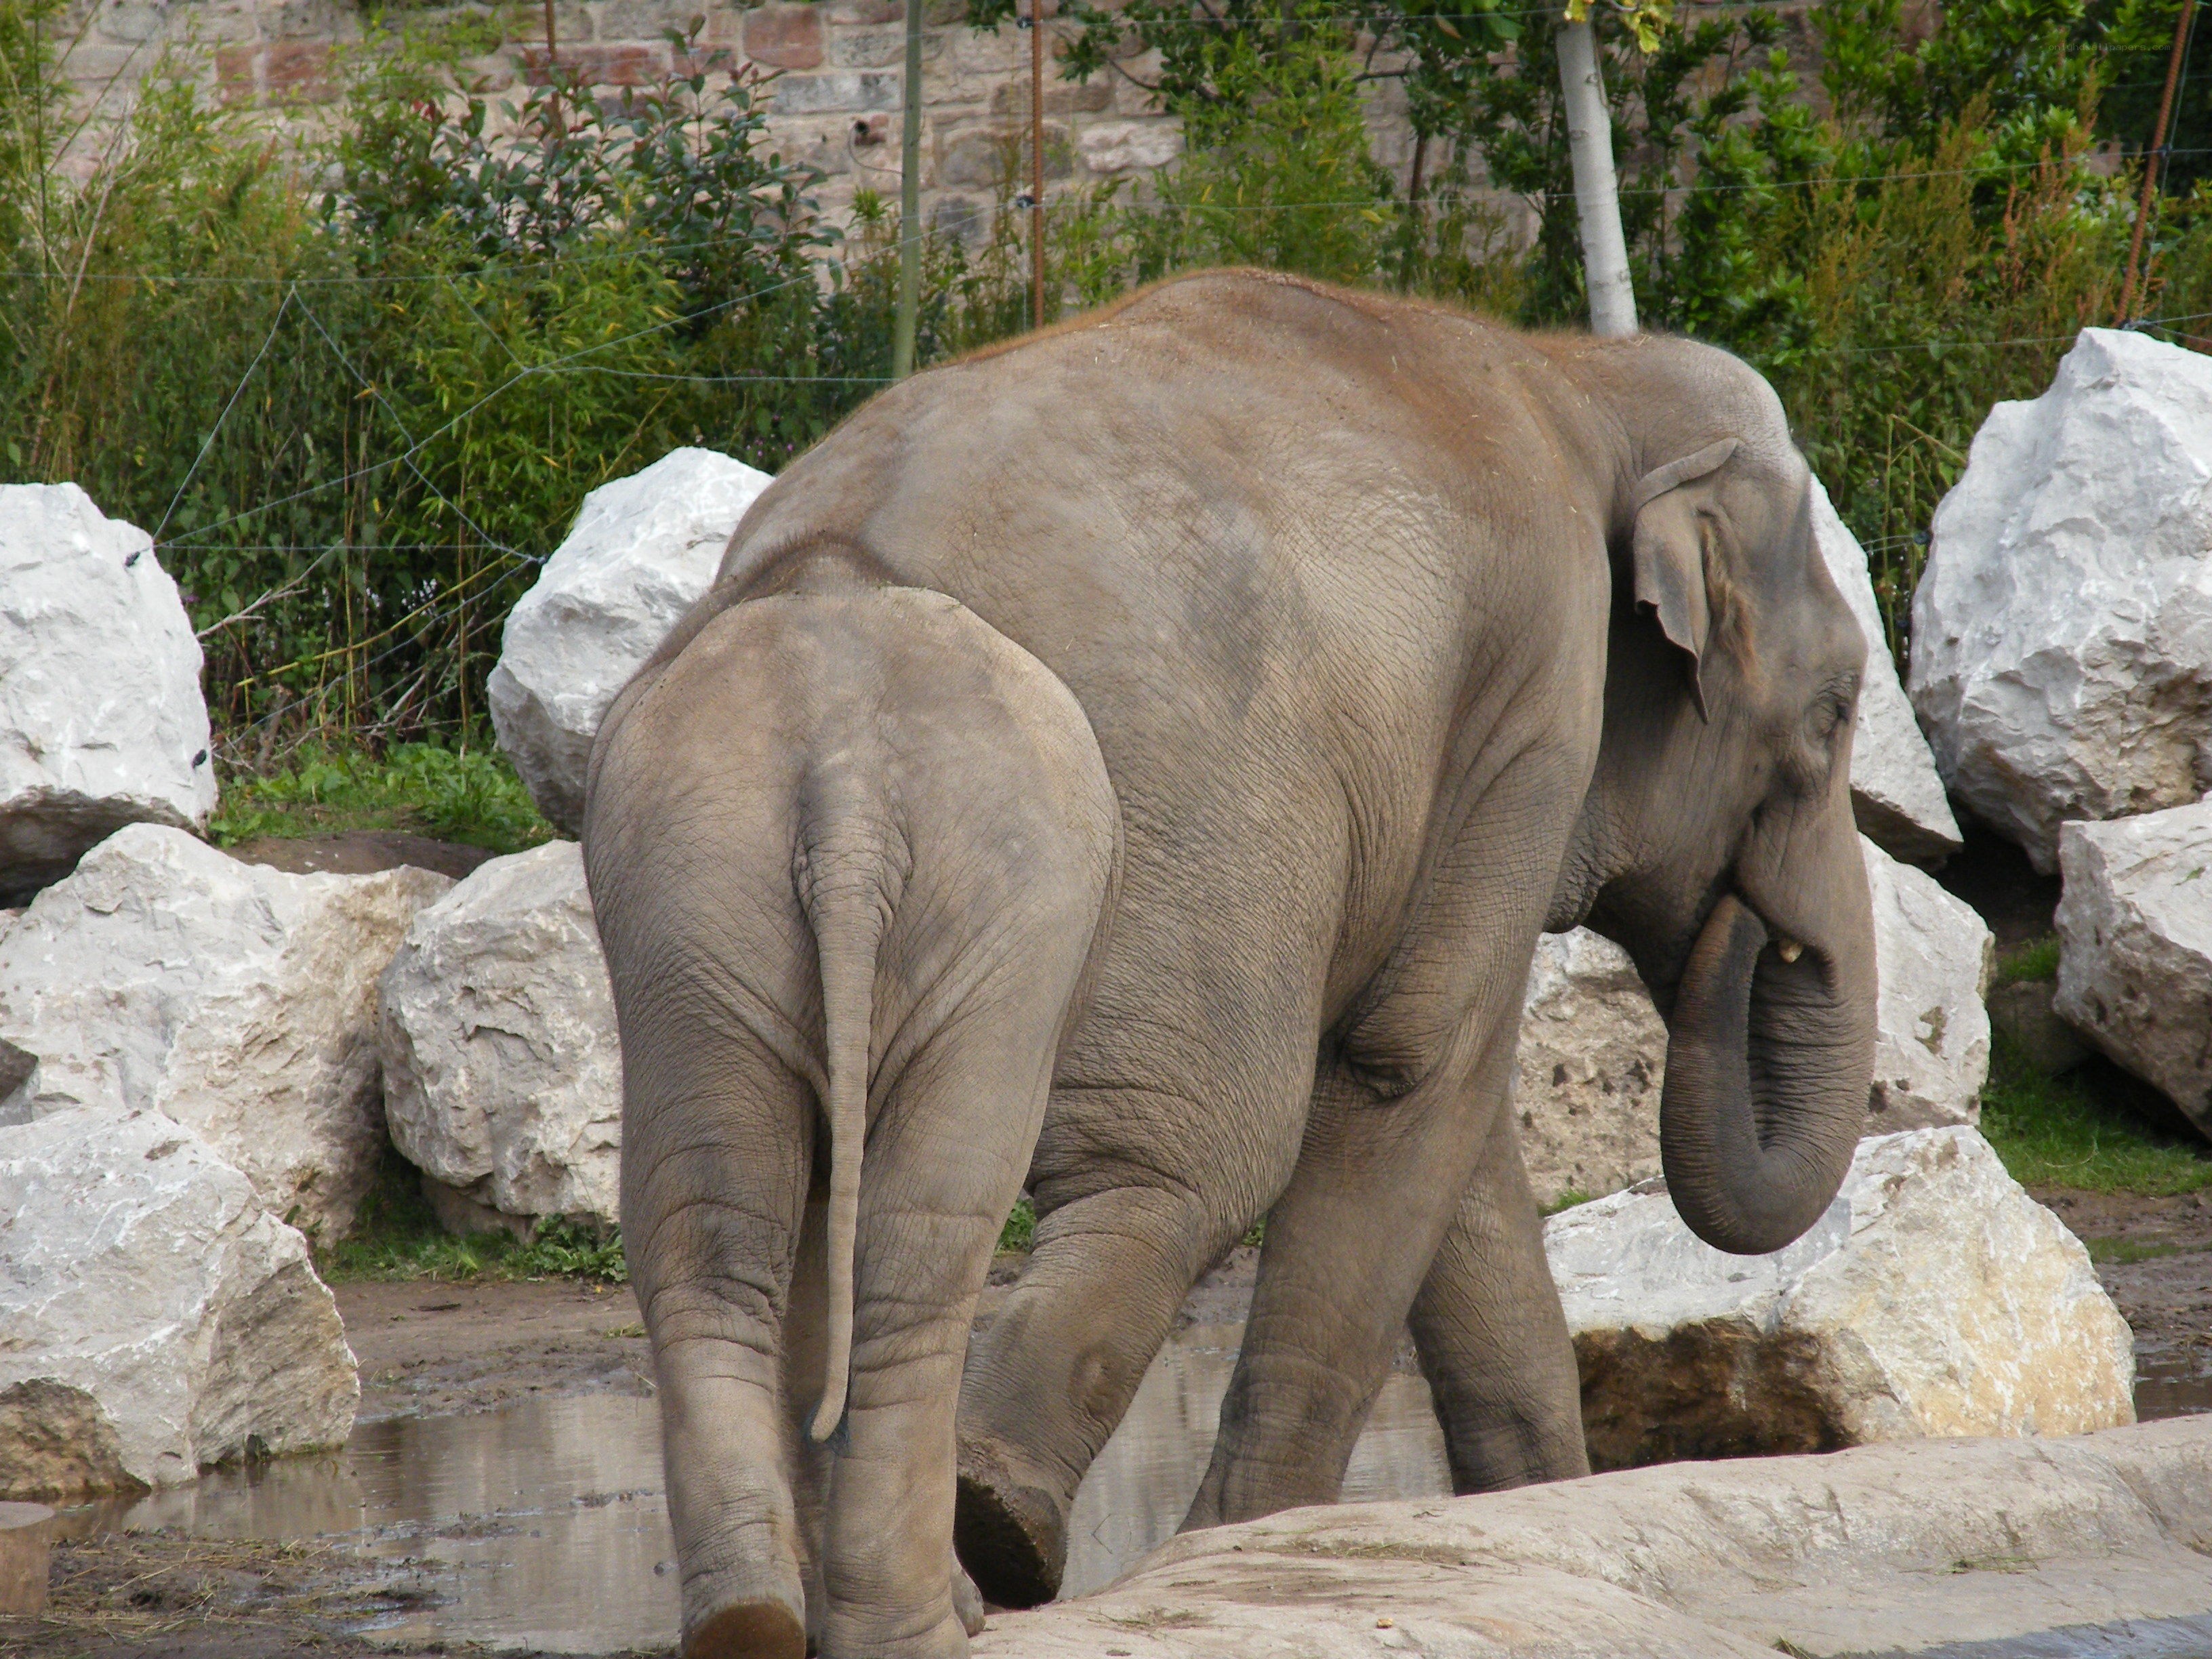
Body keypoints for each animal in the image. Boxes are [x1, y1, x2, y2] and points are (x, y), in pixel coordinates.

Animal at [582, 267, 1878, 1658]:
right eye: (1834, 713)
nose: (1752, 926)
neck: (1579, 378)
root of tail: (832, 607)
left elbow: (1442, 1121)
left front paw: (1537, 1500)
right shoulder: (1533, 693)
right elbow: (1410, 1066)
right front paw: (1254, 1540)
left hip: (689, 871)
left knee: (719, 1219)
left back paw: (780, 1610)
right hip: (1168, 831)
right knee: (1166, 1167)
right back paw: (989, 1535)